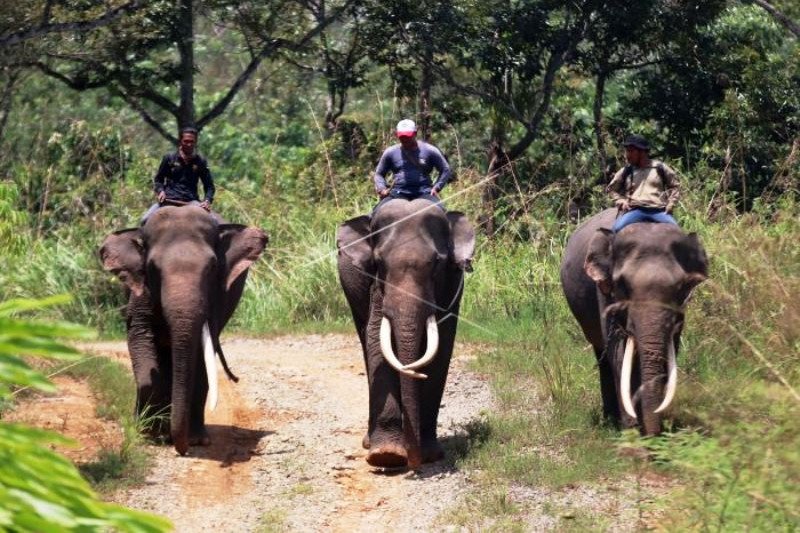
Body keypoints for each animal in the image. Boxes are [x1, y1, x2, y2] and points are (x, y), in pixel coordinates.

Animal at [99, 204, 268, 454]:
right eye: (152, 267)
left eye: (213, 267)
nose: (182, 449)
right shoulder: (140, 289)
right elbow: (140, 336)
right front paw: (148, 434)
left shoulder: (218, 296)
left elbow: (200, 355)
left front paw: (192, 439)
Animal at [338, 198, 476, 466]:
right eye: (379, 263)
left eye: (437, 263)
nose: (414, 461)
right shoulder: (377, 288)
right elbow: (376, 340)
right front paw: (387, 456)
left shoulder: (452, 284)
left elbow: (442, 345)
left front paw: (430, 454)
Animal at [560, 206, 708, 434]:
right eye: (622, 284)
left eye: (680, 286)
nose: (654, 436)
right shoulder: (605, 293)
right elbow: (619, 354)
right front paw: (632, 431)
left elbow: (668, 350)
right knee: (603, 356)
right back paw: (610, 420)